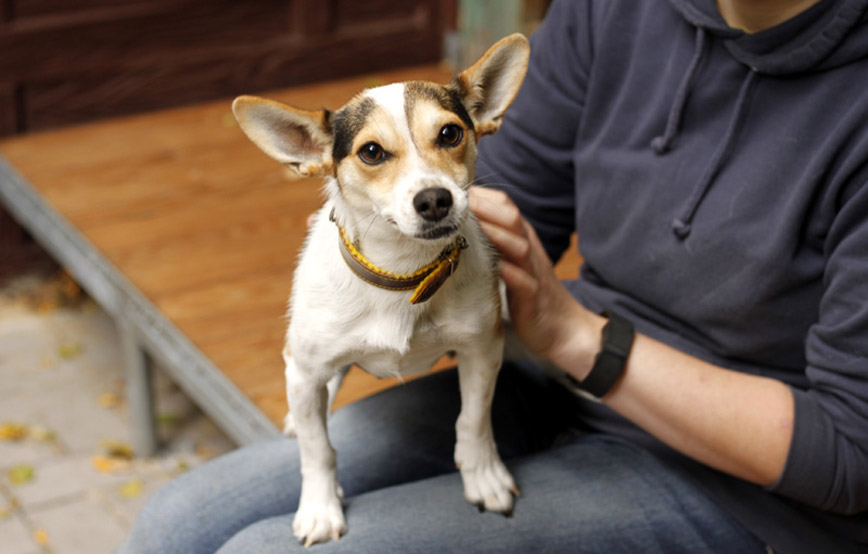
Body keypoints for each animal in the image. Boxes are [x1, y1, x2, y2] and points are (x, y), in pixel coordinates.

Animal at [232, 34, 528, 544]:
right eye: (371, 152)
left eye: (450, 134)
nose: (435, 199)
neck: (402, 273)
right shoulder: (305, 371)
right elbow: (317, 449)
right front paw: (321, 508)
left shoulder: (482, 349)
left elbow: (473, 419)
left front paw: (484, 476)